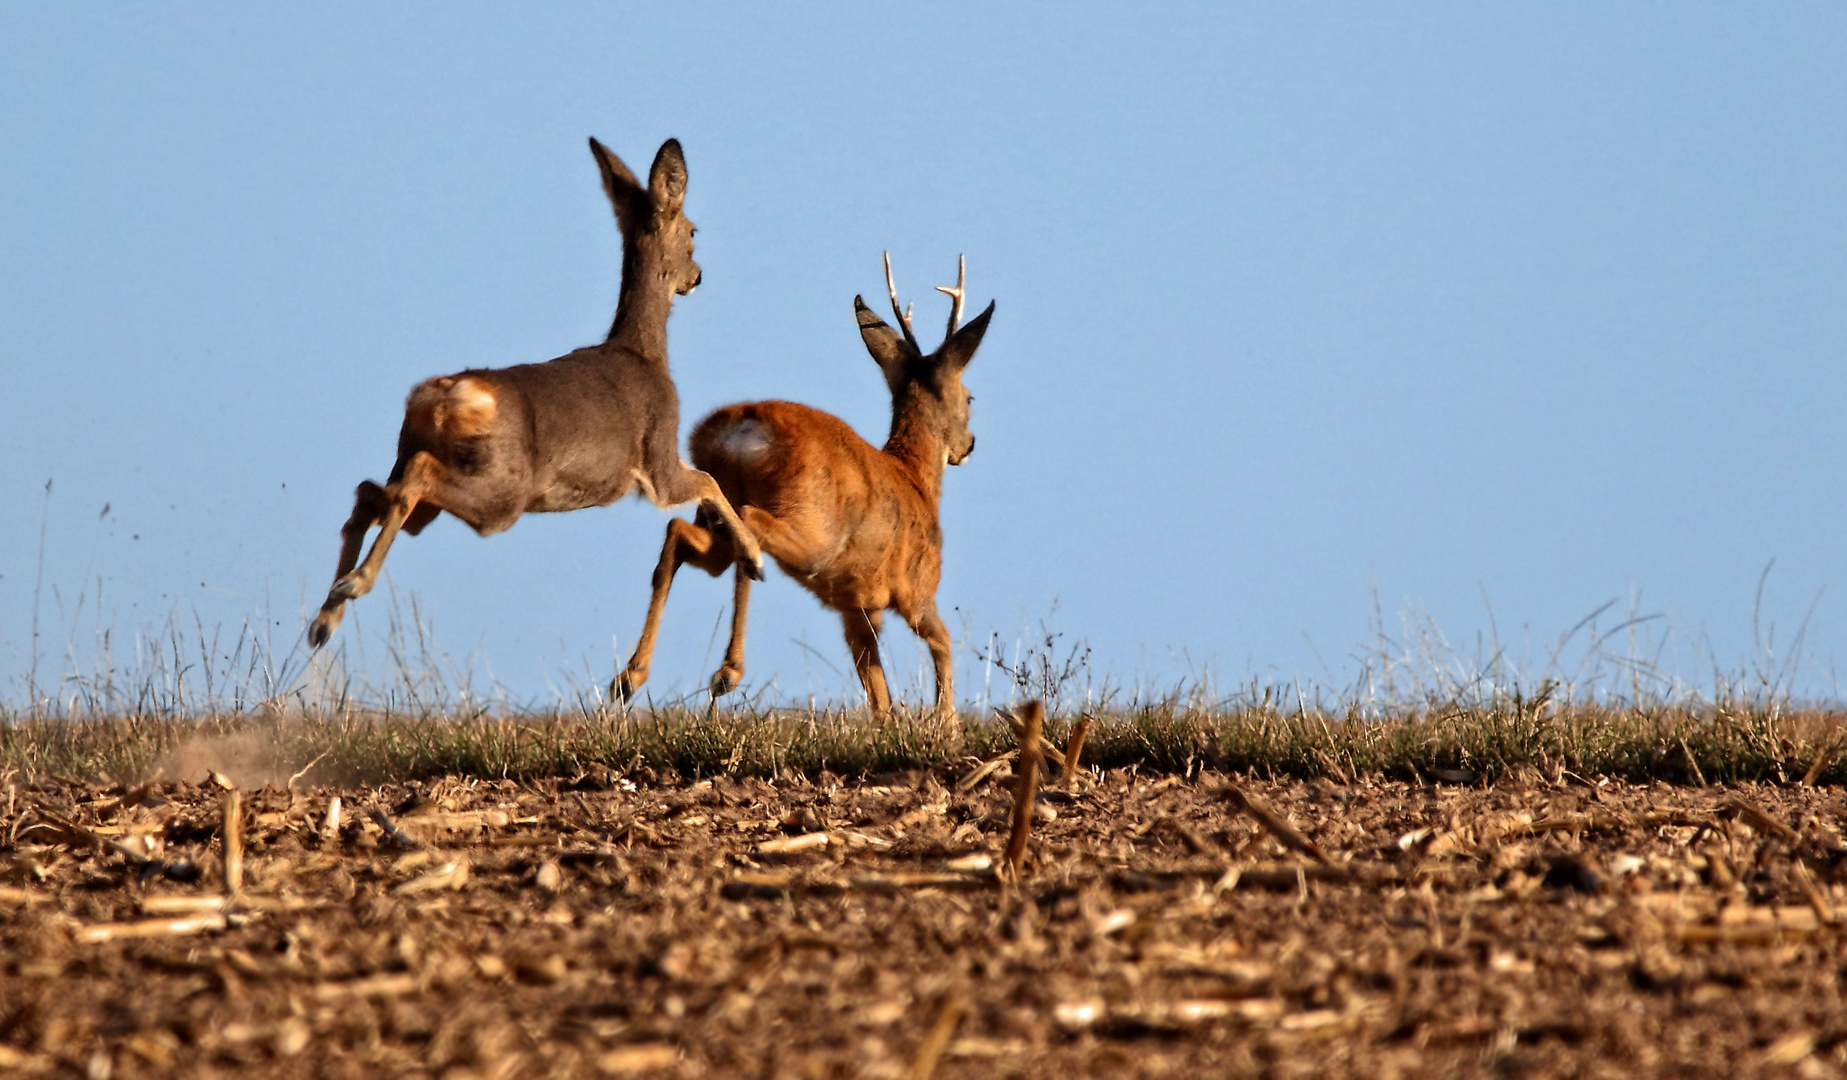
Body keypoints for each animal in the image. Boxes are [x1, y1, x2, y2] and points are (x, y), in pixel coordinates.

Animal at [306, 135, 760, 649]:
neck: (645, 353)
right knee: (410, 483)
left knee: (371, 493)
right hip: (504, 491)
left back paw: (325, 619)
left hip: (423, 470)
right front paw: (755, 558)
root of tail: (445, 396)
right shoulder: (657, 459)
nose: (698, 275)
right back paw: (353, 586)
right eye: (692, 230)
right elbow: (708, 480)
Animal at [616, 256, 997, 720]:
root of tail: (742, 425)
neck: (917, 480)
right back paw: (727, 672)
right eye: (970, 397)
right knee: (751, 528)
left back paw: (629, 677)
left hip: (718, 512)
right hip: (811, 529)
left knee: (682, 534)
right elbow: (943, 642)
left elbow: (877, 691)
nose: (969, 445)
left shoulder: (856, 607)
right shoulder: (917, 587)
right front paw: (946, 722)